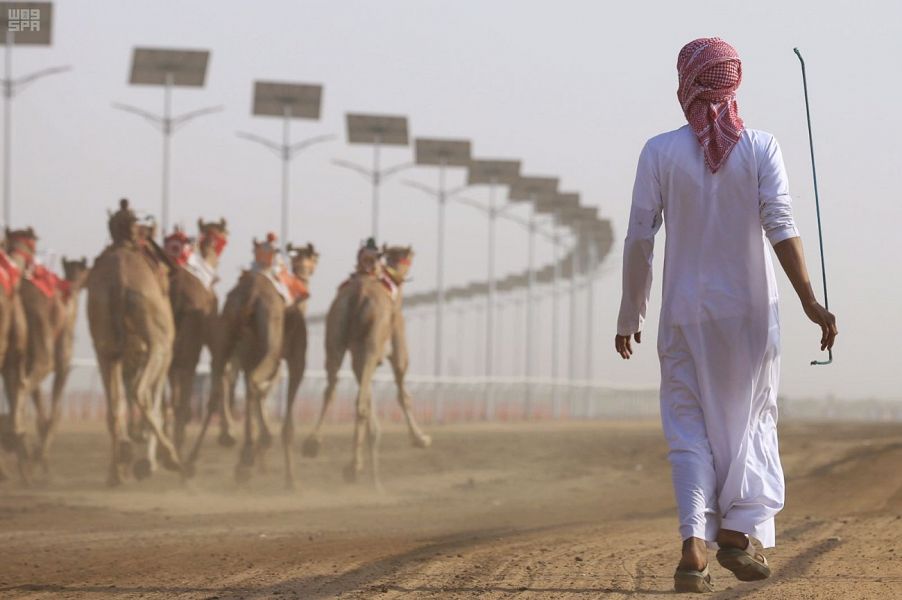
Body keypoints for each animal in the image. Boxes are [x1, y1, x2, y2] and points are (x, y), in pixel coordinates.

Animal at [86, 199, 184, 486]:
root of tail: (119, 281)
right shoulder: (162, 353)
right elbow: (157, 402)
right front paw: (151, 461)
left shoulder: (125, 354)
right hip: (158, 344)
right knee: (141, 392)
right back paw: (168, 456)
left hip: (104, 344)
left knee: (114, 405)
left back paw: (118, 468)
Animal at [304, 241, 430, 490]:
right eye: (408, 258)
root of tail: (358, 295)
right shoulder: (396, 348)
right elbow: (403, 394)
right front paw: (421, 439)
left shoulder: (357, 358)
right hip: (372, 342)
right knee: (359, 402)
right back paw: (354, 467)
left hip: (334, 334)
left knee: (331, 387)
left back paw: (313, 444)